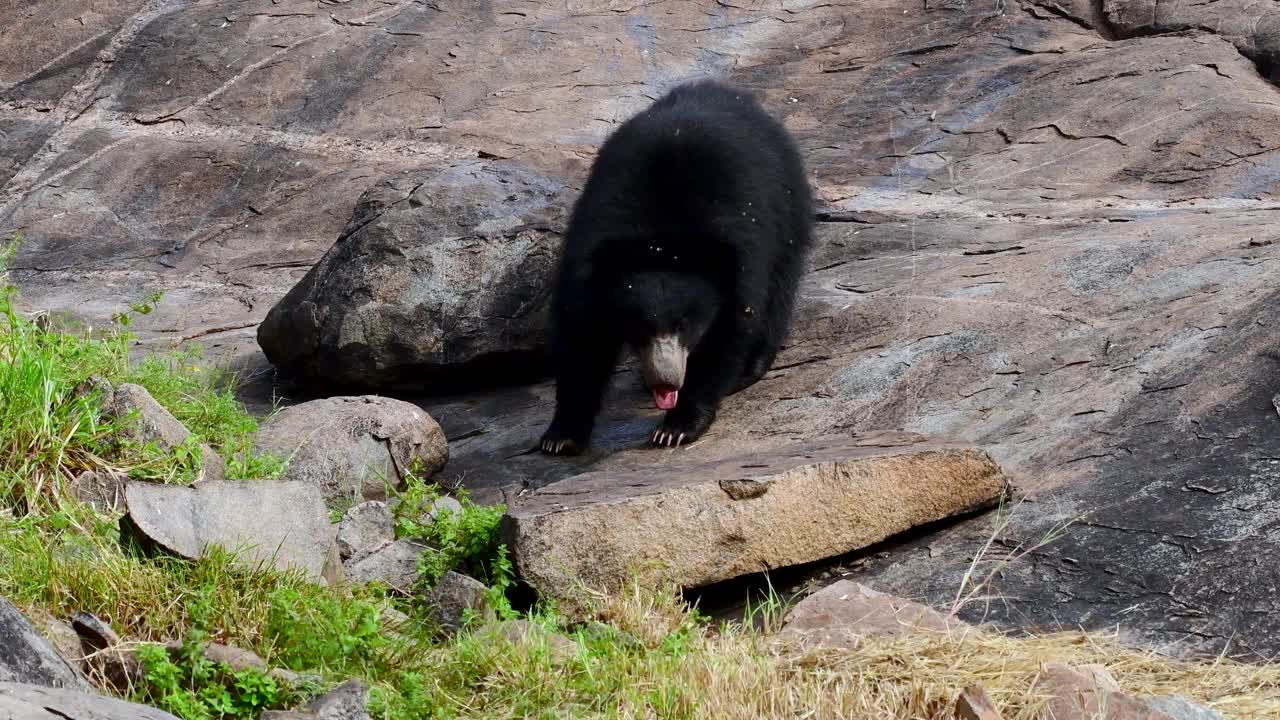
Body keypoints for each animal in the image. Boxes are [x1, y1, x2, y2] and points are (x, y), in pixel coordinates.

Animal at [537, 78, 808, 453]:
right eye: (639, 324)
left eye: (685, 324)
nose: (667, 381)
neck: (661, 245)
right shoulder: (590, 260)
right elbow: (581, 337)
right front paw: (561, 436)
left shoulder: (736, 263)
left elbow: (727, 334)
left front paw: (676, 427)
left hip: (787, 212)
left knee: (779, 290)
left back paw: (751, 368)